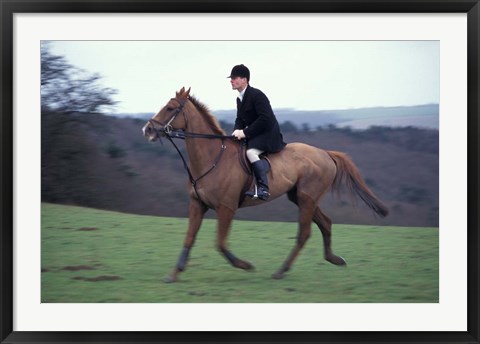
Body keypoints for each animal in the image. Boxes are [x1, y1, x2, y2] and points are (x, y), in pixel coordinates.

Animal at [142, 87, 390, 284]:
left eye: (170, 108)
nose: (147, 130)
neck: (211, 157)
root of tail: (325, 153)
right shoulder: (197, 205)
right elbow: (189, 239)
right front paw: (173, 274)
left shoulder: (226, 208)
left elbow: (220, 244)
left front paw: (245, 265)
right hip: (299, 196)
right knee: (325, 223)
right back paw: (334, 259)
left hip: (307, 198)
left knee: (305, 233)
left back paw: (282, 271)